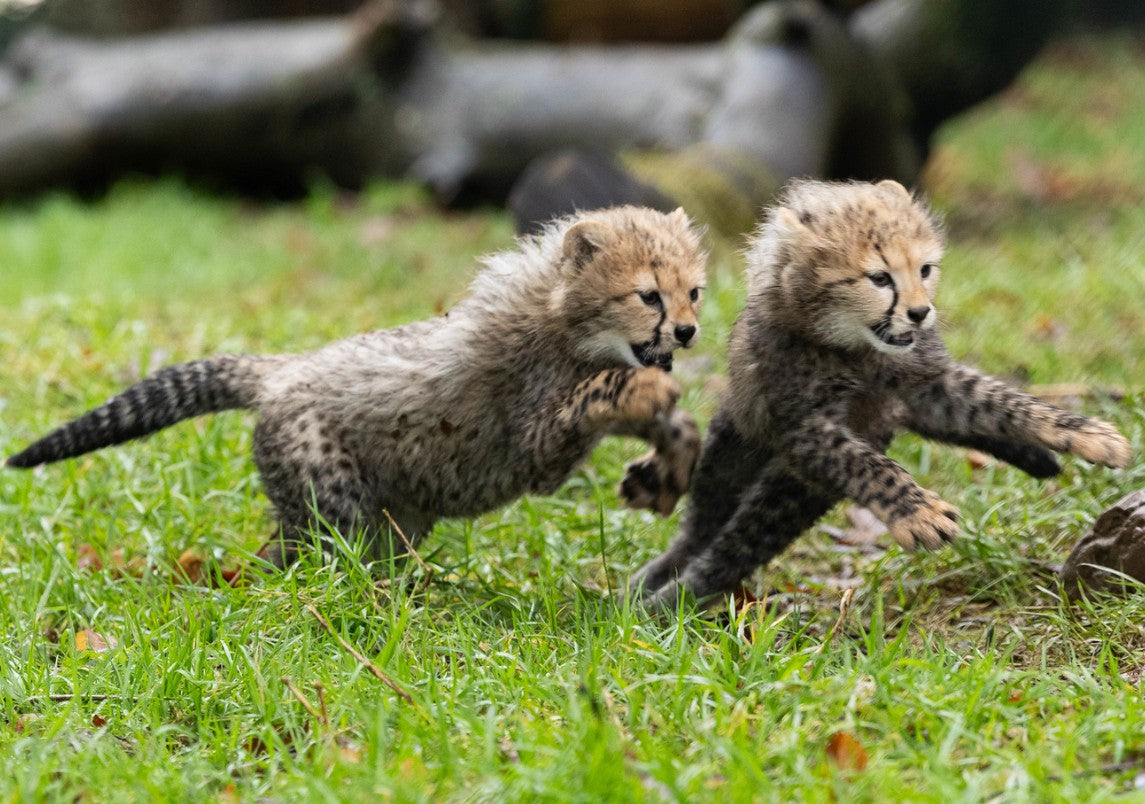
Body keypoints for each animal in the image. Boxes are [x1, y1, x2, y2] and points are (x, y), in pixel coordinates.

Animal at [8, 205, 707, 569]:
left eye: (693, 291)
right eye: (648, 295)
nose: (688, 331)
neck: (558, 317)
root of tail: (284, 369)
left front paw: (670, 460)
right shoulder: (536, 443)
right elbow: (601, 393)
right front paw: (642, 395)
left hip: (396, 518)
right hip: (331, 504)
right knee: (308, 558)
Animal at [629, 179, 1132, 610]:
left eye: (925, 270)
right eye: (880, 278)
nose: (920, 312)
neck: (859, 351)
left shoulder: (931, 388)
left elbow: (1003, 402)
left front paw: (1085, 433)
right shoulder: (803, 426)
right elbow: (867, 464)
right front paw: (920, 513)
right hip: (759, 464)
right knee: (717, 534)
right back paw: (664, 597)